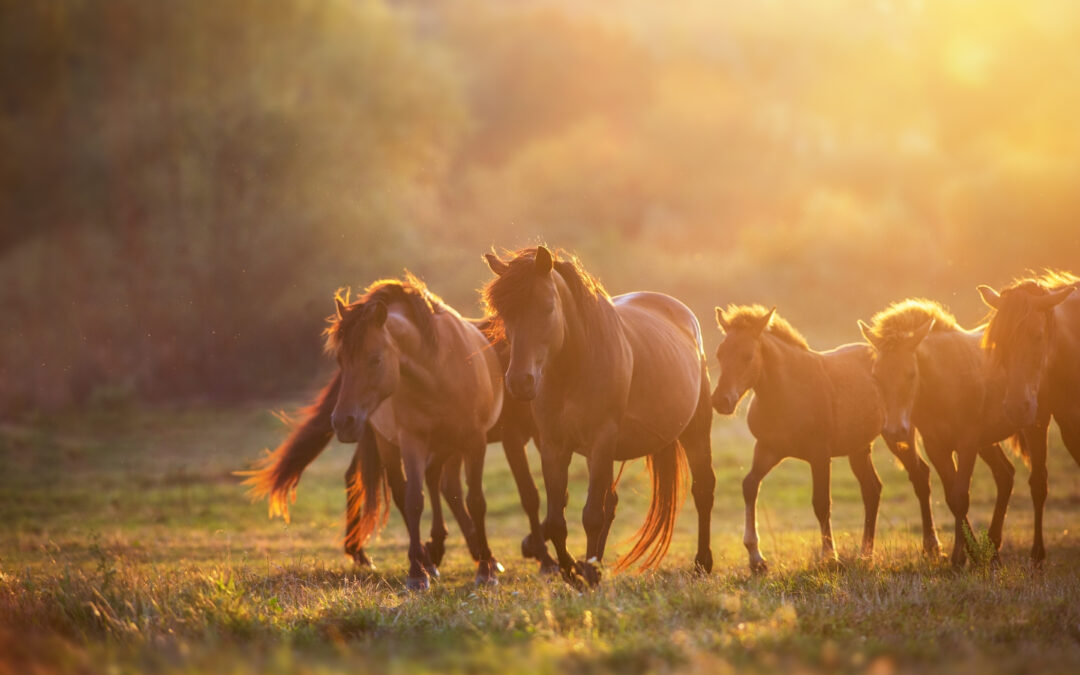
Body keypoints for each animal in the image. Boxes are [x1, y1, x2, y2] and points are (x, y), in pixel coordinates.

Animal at [708, 304, 885, 574]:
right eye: (719, 354)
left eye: (748, 355)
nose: (720, 401)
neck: (787, 391)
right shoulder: (767, 448)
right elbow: (750, 485)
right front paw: (756, 558)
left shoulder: (820, 455)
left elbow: (821, 503)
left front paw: (829, 557)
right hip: (859, 448)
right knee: (872, 489)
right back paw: (866, 555)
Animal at [855, 300, 1015, 561]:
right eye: (876, 375)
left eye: (911, 374)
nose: (894, 431)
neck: (945, 382)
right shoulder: (936, 447)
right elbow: (952, 496)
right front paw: (966, 554)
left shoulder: (967, 444)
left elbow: (960, 496)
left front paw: (962, 557)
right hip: (988, 442)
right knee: (1005, 474)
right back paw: (993, 547)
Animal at [980, 270, 1080, 561]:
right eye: (999, 342)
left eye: (1037, 336)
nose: (1015, 407)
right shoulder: (1043, 422)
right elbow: (1038, 483)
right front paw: (1037, 555)